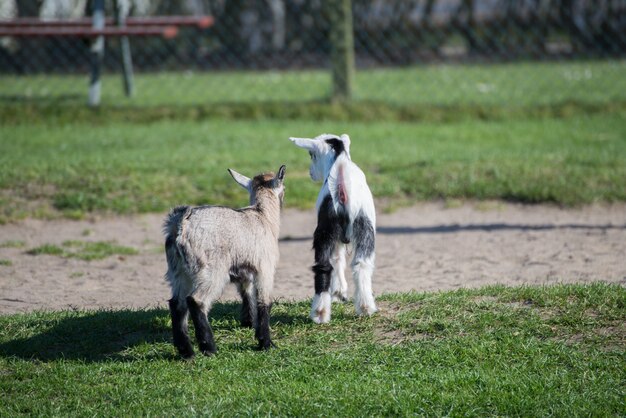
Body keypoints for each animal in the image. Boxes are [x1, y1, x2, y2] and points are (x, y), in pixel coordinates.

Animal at [288, 134, 372, 324]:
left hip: (325, 230)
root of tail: (342, 187)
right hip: (365, 226)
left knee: (324, 266)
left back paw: (320, 312)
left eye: (311, 154)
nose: (310, 173)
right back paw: (365, 308)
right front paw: (340, 293)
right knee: (361, 264)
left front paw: (339, 293)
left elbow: (337, 260)